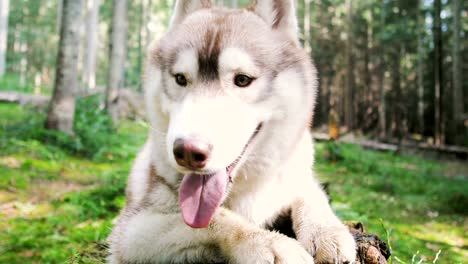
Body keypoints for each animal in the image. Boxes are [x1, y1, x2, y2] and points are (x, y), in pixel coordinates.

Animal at [108, 1, 356, 262]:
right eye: (180, 79)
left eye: (243, 79)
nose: (188, 152)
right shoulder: (130, 233)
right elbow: (215, 219)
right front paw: (269, 244)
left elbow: (311, 194)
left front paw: (326, 230)